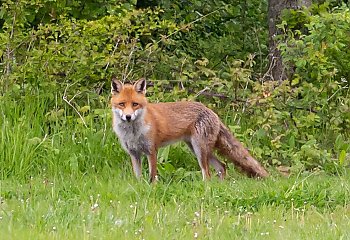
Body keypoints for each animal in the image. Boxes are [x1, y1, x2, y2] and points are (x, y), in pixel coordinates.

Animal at [110, 78, 270, 182]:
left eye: (135, 104)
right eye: (122, 104)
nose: (128, 117)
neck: (133, 133)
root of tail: (211, 112)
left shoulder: (151, 151)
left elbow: (152, 177)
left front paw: (152, 189)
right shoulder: (134, 153)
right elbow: (137, 178)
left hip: (199, 149)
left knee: (208, 174)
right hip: (196, 149)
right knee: (222, 167)